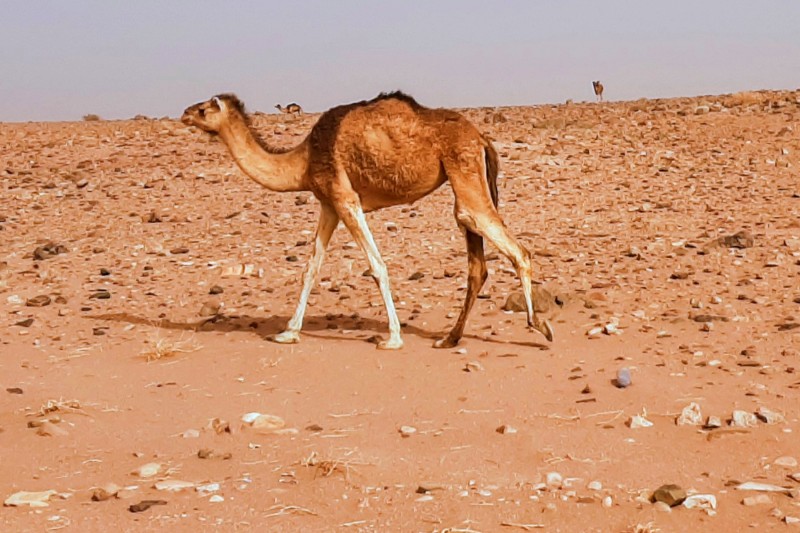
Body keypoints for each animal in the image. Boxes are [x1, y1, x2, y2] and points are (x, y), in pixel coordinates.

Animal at [182, 91, 556, 350]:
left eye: (203, 109)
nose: (184, 113)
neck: (303, 160)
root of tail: (481, 137)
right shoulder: (329, 204)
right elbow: (311, 268)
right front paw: (287, 332)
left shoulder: (346, 198)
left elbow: (376, 266)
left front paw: (392, 338)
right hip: (465, 174)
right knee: (477, 262)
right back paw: (449, 338)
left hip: (463, 170)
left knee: (506, 242)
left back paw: (539, 327)